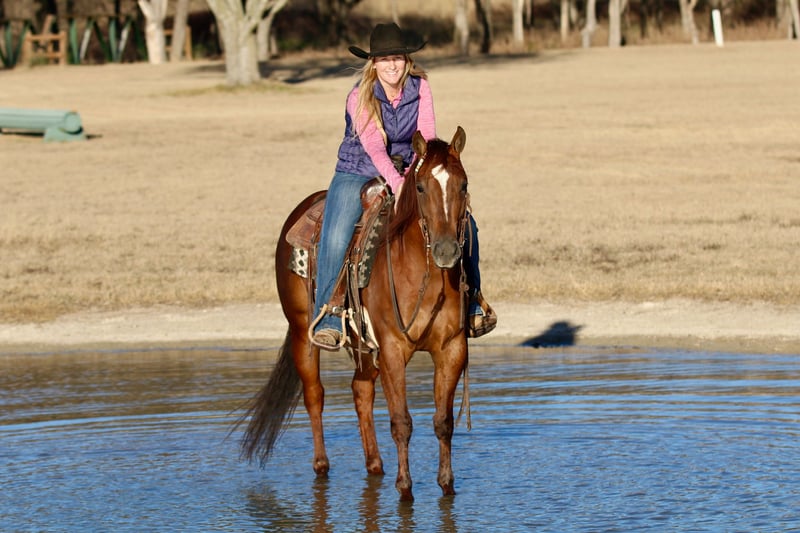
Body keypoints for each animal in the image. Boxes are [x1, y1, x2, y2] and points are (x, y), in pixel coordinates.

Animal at [239, 127, 472, 502]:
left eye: (463, 184)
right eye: (421, 187)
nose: (446, 250)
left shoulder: (451, 349)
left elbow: (443, 422)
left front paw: (447, 485)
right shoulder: (392, 350)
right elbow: (401, 422)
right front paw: (405, 489)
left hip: (364, 345)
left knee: (361, 390)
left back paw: (375, 465)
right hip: (302, 331)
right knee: (314, 395)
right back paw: (322, 465)